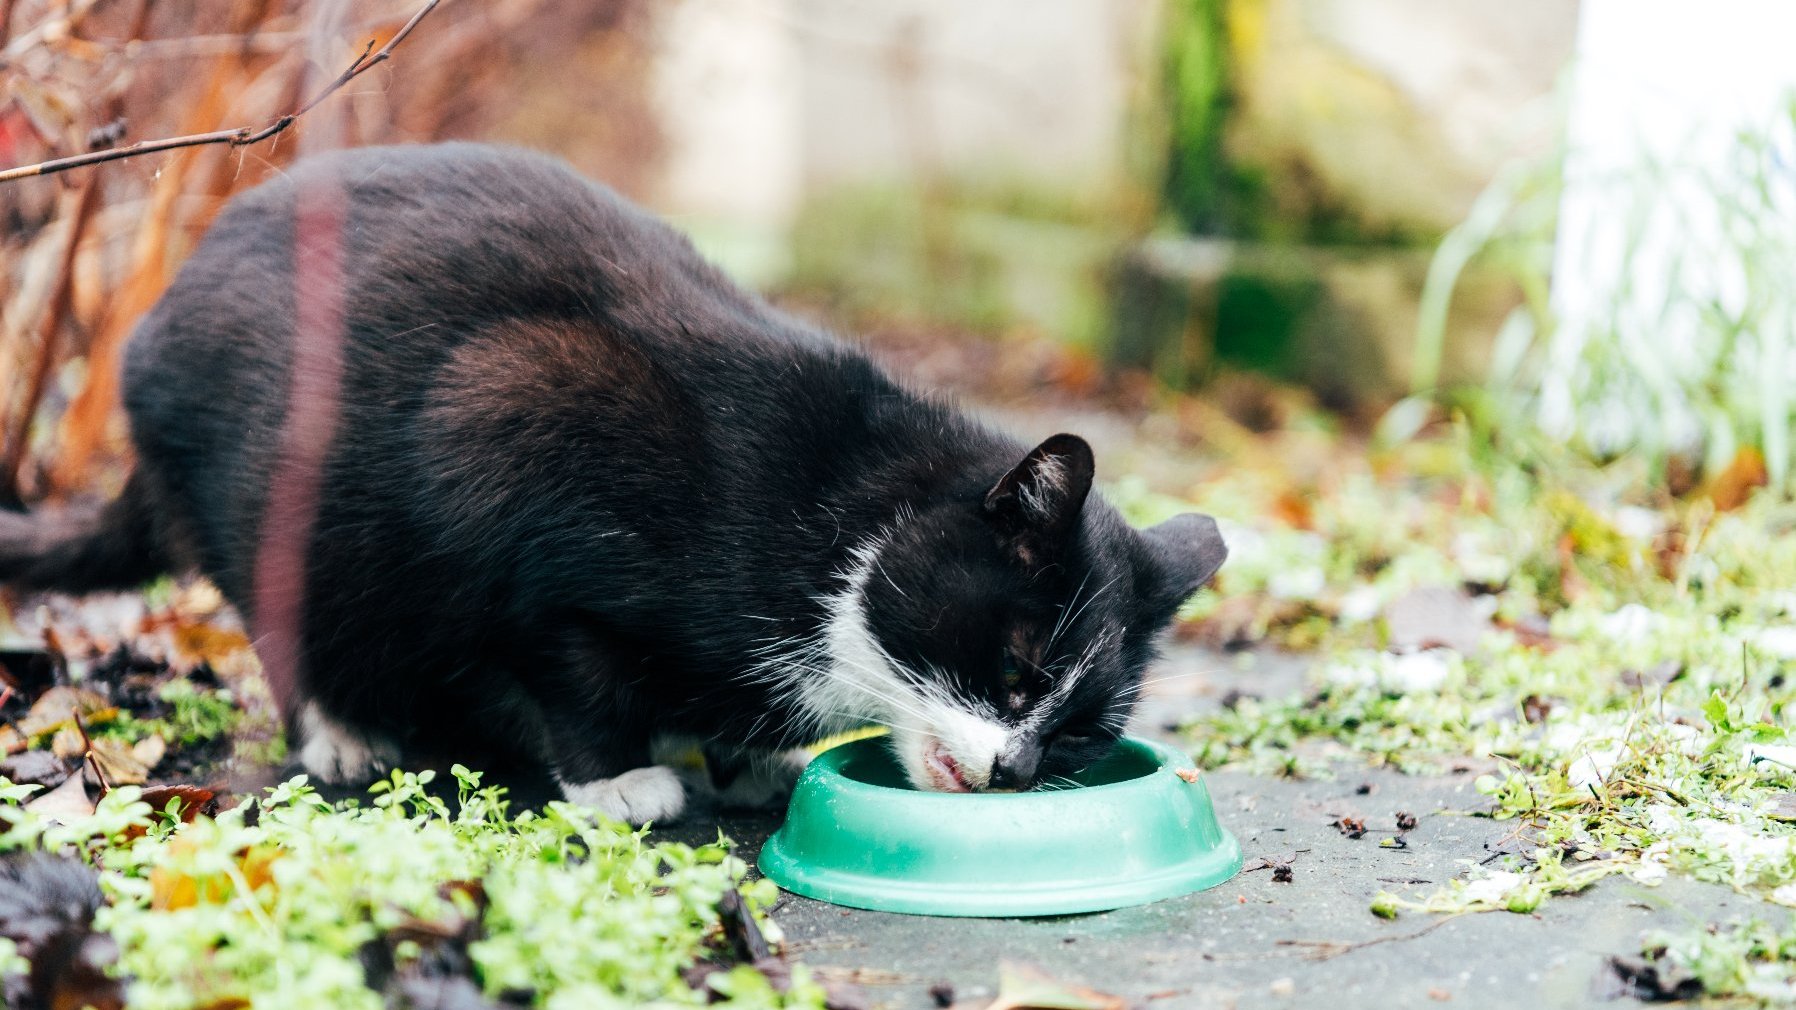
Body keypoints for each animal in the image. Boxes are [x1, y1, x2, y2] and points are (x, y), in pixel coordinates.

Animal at [0, 141, 1221, 819]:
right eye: (1015, 669)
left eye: (1081, 730)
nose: (1019, 767)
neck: (828, 519)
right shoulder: (511, 423)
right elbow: (568, 656)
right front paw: (618, 778)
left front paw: (739, 756)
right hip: (291, 501)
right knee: (286, 608)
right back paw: (344, 729)